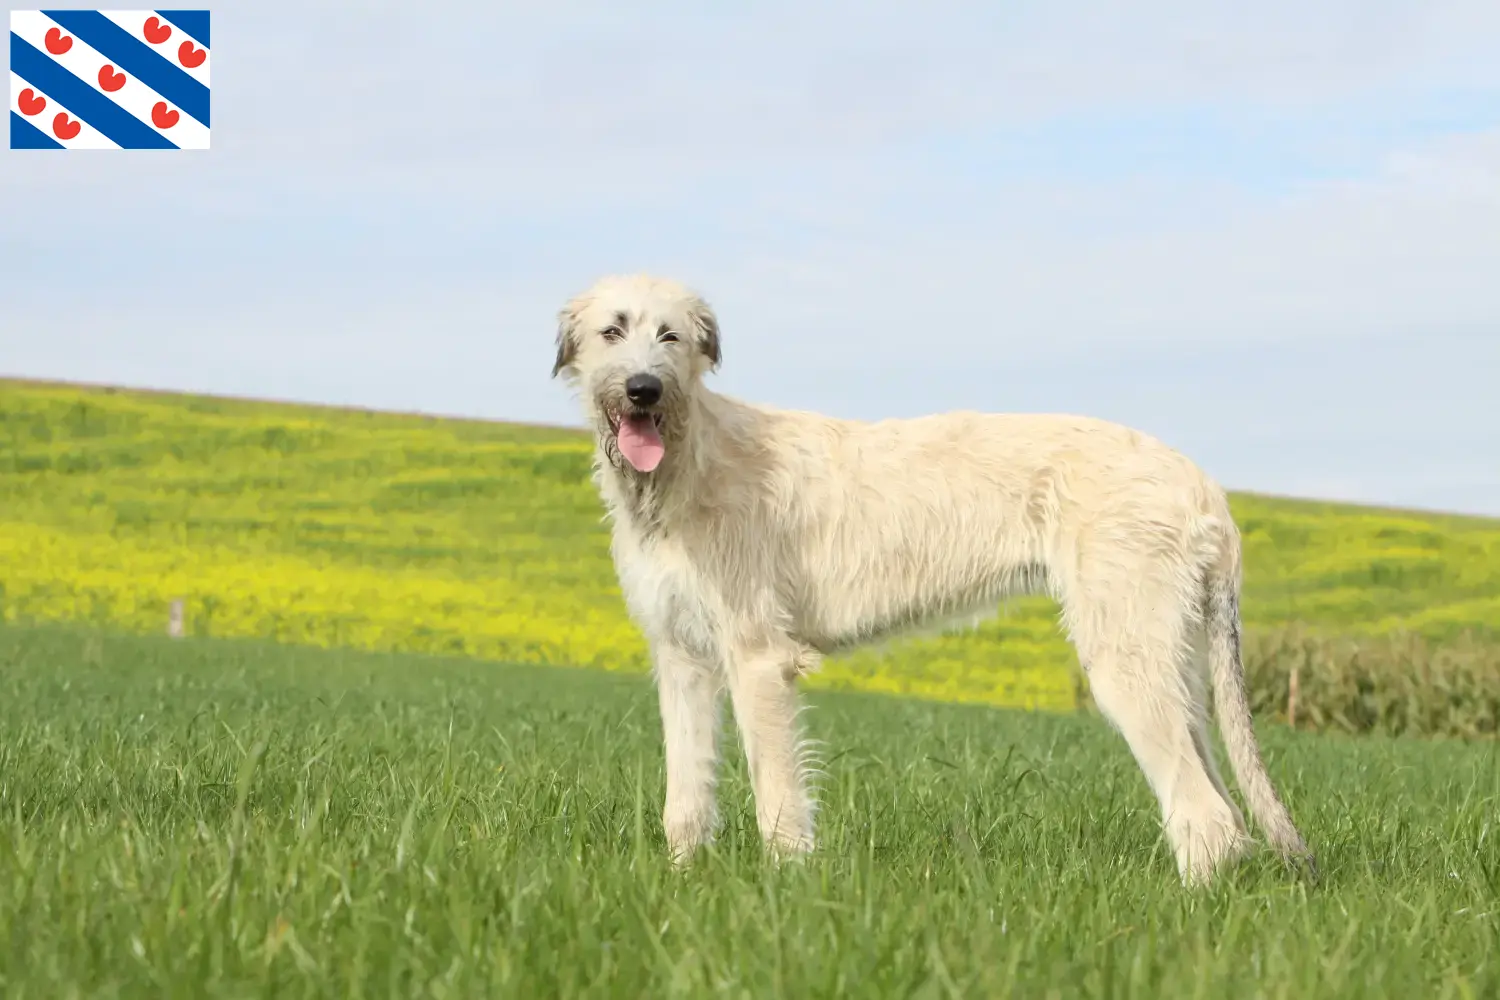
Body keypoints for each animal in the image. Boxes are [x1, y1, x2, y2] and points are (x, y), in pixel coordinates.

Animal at [552, 271, 1314, 881]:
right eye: (612, 331)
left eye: (671, 335)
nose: (643, 389)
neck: (686, 463)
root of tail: (1203, 484)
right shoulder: (681, 656)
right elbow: (685, 793)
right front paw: (680, 881)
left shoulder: (757, 657)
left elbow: (778, 794)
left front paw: (785, 891)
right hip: (1172, 656)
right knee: (1217, 797)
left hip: (1125, 653)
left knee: (1206, 814)